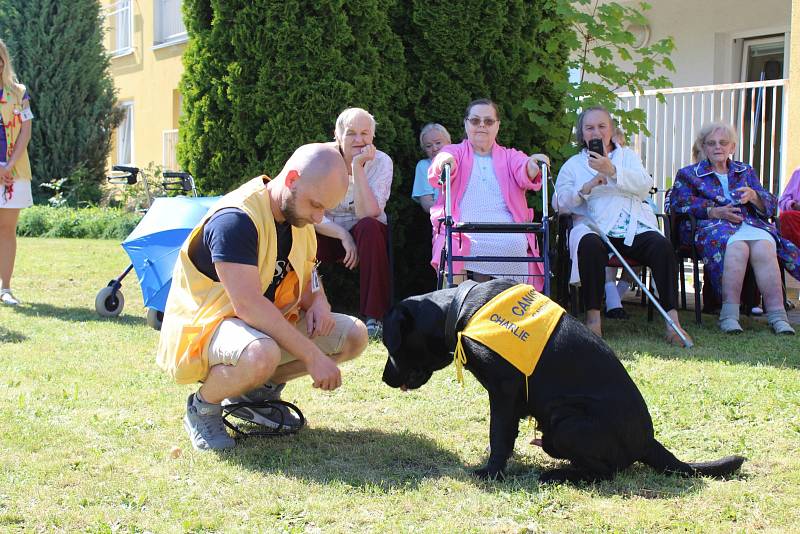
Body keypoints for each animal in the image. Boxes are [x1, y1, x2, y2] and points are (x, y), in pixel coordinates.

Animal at [382, 280, 744, 486]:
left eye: (390, 345)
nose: (385, 377)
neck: (458, 310)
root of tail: (648, 442)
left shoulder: (504, 391)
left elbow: (498, 435)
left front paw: (491, 472)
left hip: (566, 421)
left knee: (607, 472)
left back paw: (559, 475)